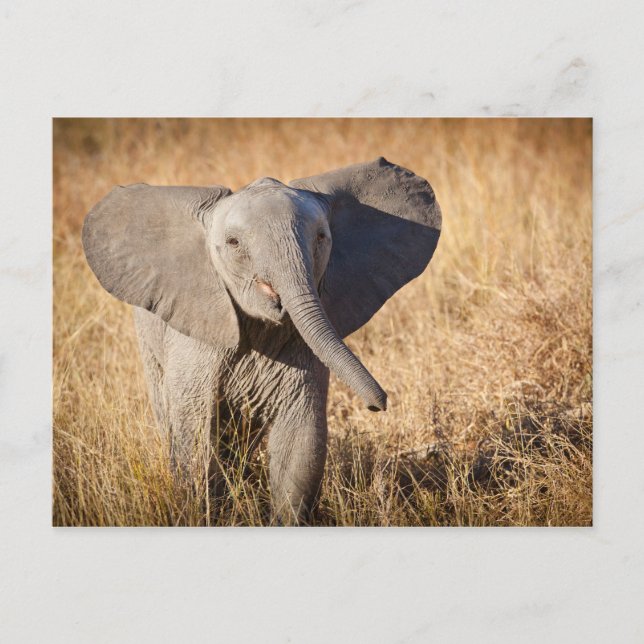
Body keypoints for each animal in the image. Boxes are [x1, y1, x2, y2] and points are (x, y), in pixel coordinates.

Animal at [82, 157, 442, 524]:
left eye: (321, 237)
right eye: (233, 244)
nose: (378, 404)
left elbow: (299, 442)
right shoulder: (196, 338)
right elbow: (195, 436)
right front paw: (203, 515)